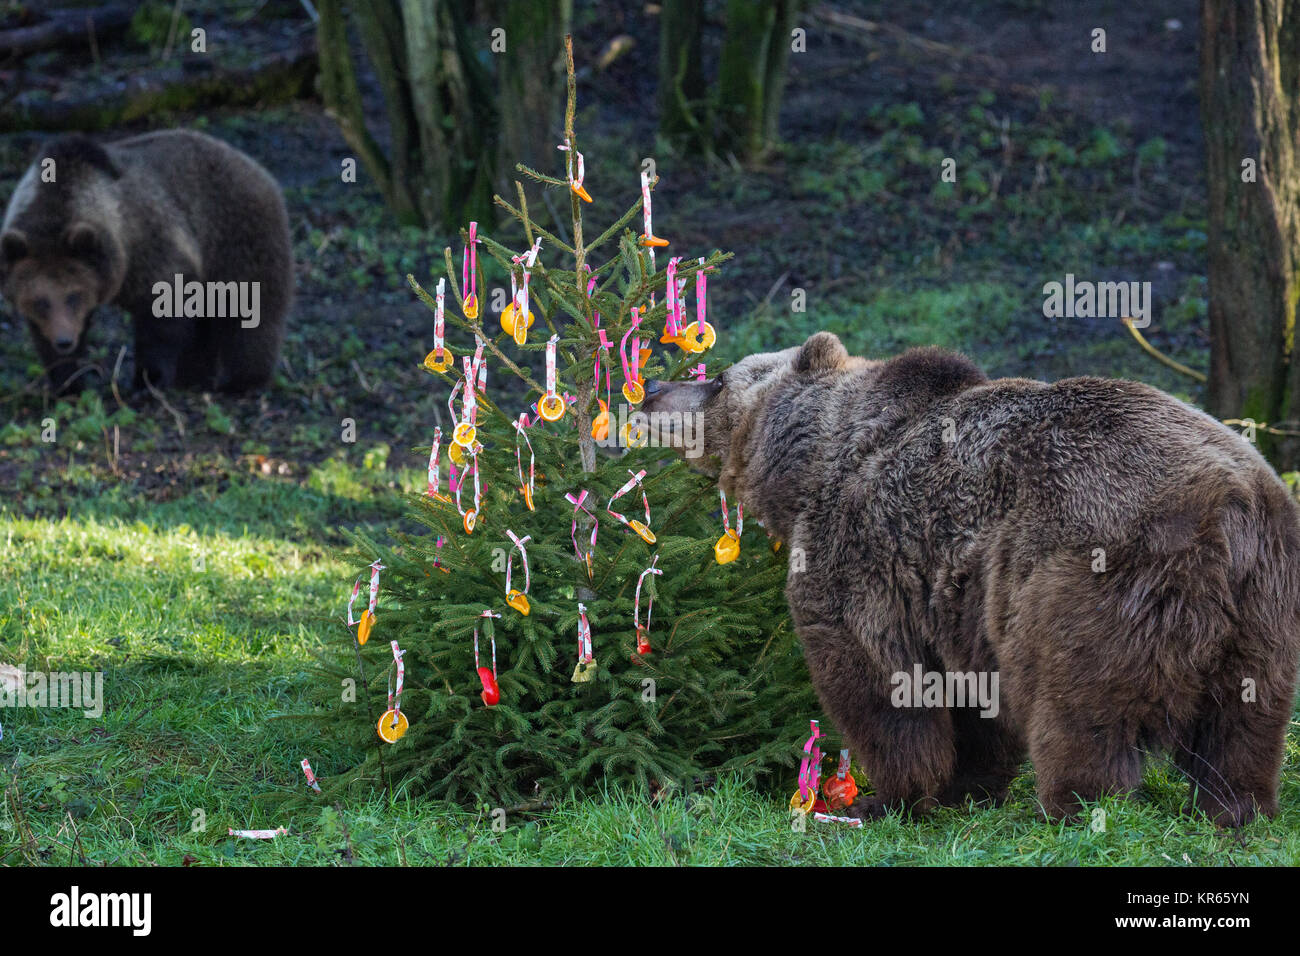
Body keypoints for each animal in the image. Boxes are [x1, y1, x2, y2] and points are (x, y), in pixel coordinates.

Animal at [1, 130, 292, 392]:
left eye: (74, 295)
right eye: (40, 302)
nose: (64, 341)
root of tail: (251, 163)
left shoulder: (152, 249)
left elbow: (161, 317)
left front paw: (146, 381)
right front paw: (67, 381)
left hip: (236, 234)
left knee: (251, 310)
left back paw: (243, 381)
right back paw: (193, 378)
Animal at [644, 332, 1300, 827]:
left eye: (718, 378)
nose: (652, 387)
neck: (810, 467)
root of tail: (1230, 500)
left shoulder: (862, 553)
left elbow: (878, 681)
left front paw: (888, 796)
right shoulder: (956, 597)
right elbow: (975, 700)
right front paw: (968, 787)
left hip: (1092, 571)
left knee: (1080, 707)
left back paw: (1076, 805)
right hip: (1263, 602)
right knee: (1244, 720)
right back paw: (1234, 807)